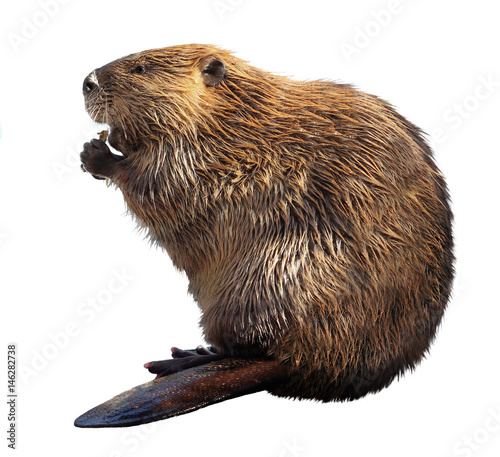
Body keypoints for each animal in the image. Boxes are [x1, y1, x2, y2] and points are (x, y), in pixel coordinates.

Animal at [74, 44, 454, 426]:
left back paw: (184, 359)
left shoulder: (213, 159)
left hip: (267, 280)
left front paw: (97, 153)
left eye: (140, 68)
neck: (233, 117)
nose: (87, 82)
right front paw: (109, 140)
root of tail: (307, 367)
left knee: (251, 348)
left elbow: (161, 186)